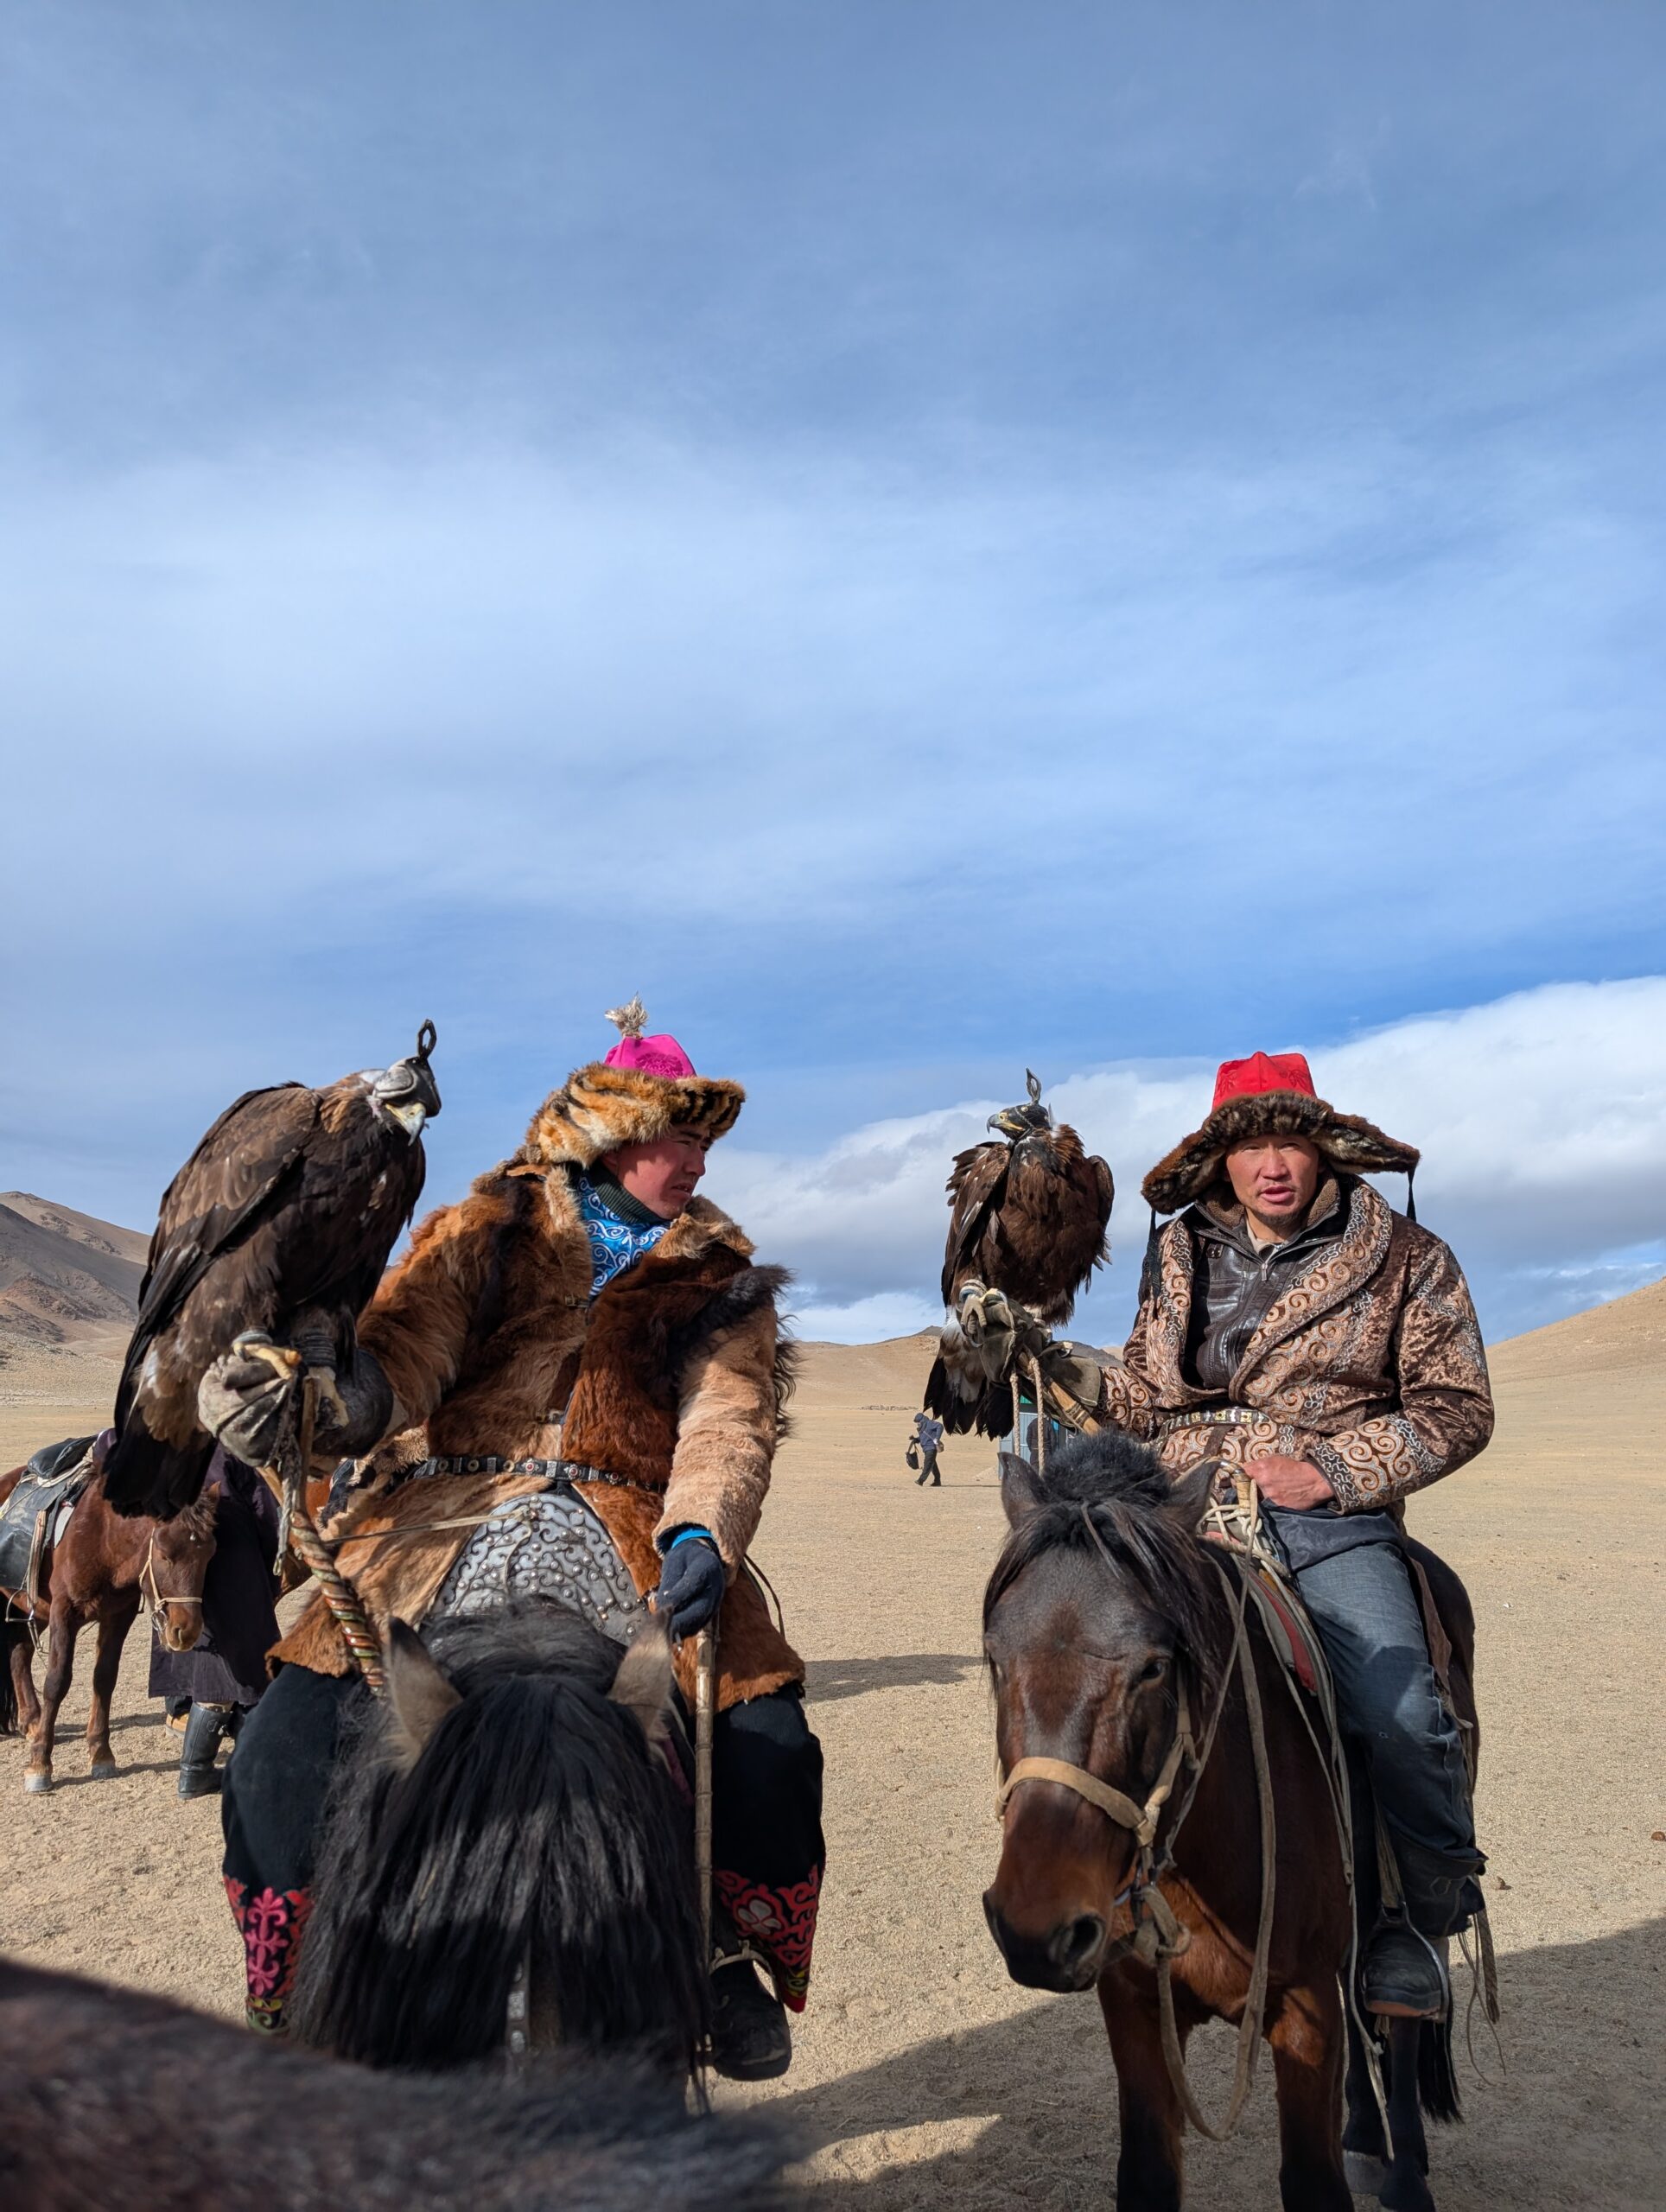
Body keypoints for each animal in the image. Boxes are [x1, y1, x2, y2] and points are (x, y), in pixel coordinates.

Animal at [0, 1443, 220, 1794]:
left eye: (209, 1553)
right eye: (164, 1554)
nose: (186, 1630)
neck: (103, 1538)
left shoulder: (119, 1615)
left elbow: (104, 1678)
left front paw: (101, 1754)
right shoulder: (64, 1613)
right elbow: (57, 1682)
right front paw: (40, 1763)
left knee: (20, 1654)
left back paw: (32, 1721)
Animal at [982, 1427, 1465, 2212]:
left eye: (1153, 1666)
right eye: (996, 1658)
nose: (1034, 1928)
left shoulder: (1301, 2011)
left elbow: (1313, 2180)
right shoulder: (1133, 2004)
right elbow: (1148, 2174)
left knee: (1404, 2004)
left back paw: (1403, 2169)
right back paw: (1365, 2135)